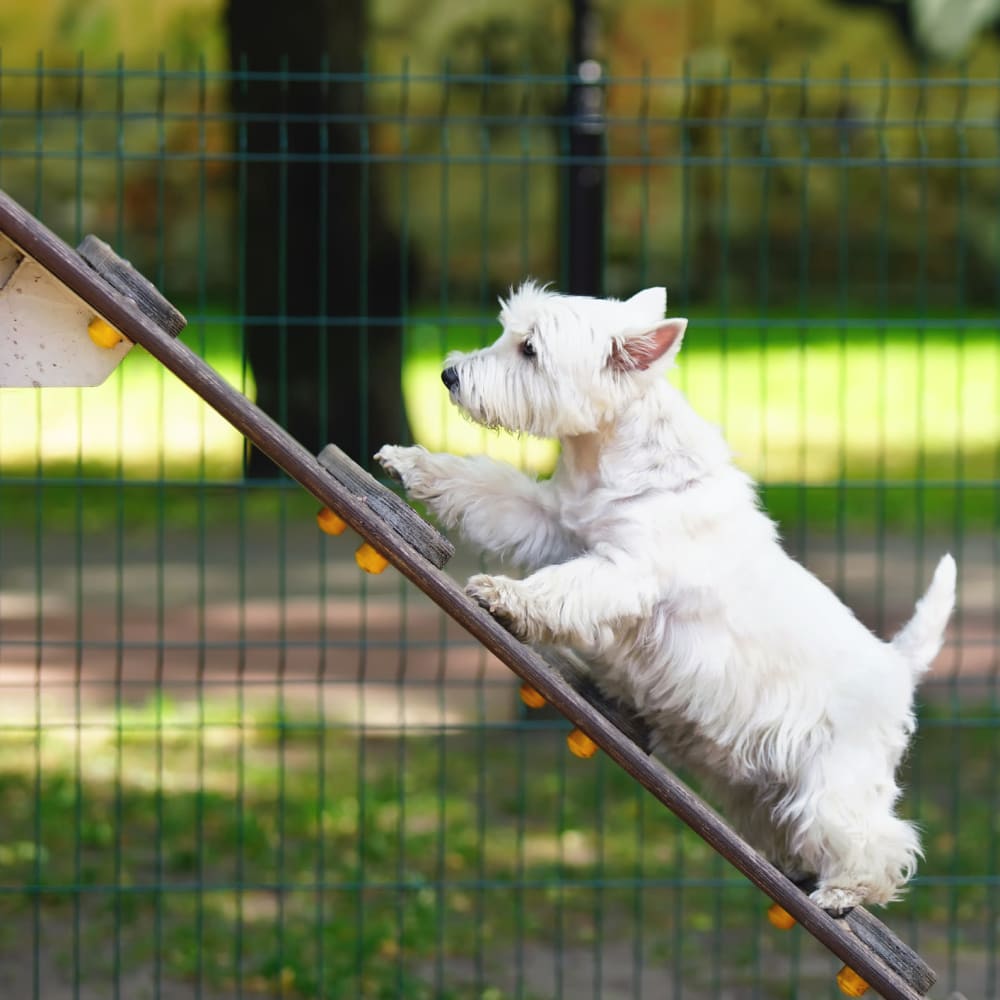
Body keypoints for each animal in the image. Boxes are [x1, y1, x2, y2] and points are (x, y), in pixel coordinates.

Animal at [378, 282, 956, 916]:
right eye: (509, 333)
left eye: (529, 349)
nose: (448, 374)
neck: (612, 457)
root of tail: (898, 665)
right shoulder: (551, 520)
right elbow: (486, 487)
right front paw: (411, 463)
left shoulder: (624, 571)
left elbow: (564, 587)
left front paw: (504, 594)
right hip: (762, 786)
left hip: (835, 779)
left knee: (881, 840)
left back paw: (842, 892)